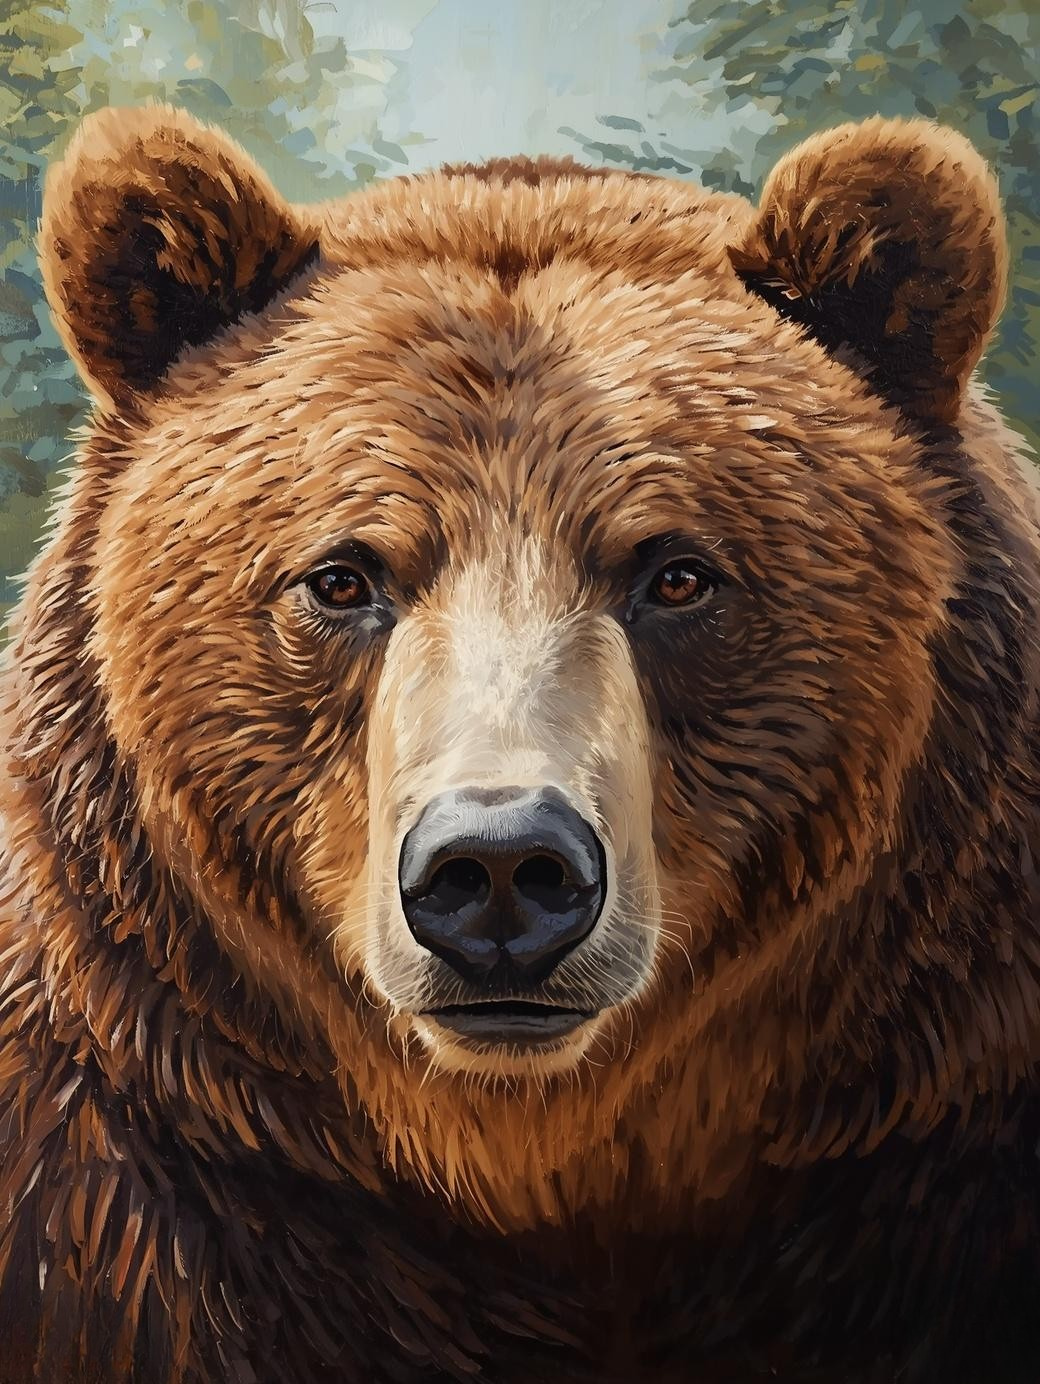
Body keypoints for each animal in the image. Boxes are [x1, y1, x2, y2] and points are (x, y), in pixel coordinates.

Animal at [0, 101, 1039, 1384]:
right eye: (340, 576)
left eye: (676, 572)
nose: (497, 868)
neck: (535, 1165)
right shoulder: (143, 1180)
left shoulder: (931, 1132)